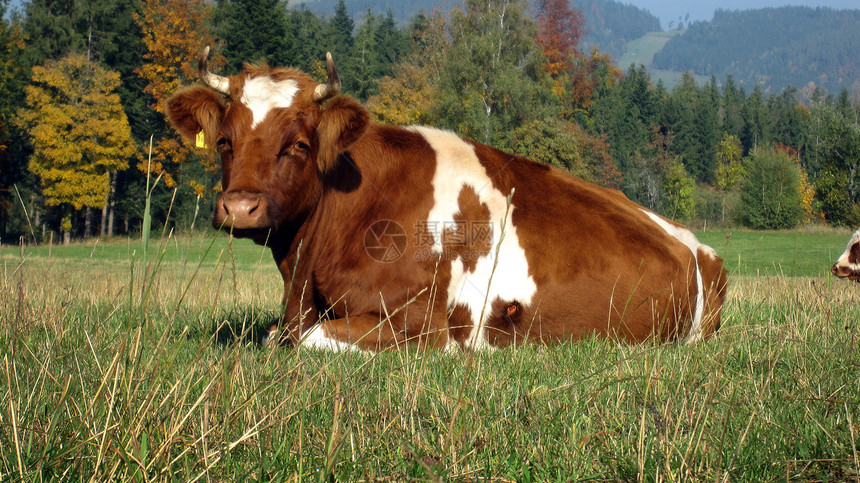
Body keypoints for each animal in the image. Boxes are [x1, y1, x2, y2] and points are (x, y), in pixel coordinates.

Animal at [166, 48, 724, 352]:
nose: (240, 208)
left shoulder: (421, 325)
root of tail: (690, 240)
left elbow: (308, 340)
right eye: (224, 142)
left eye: (299, 145)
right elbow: (274, 336)